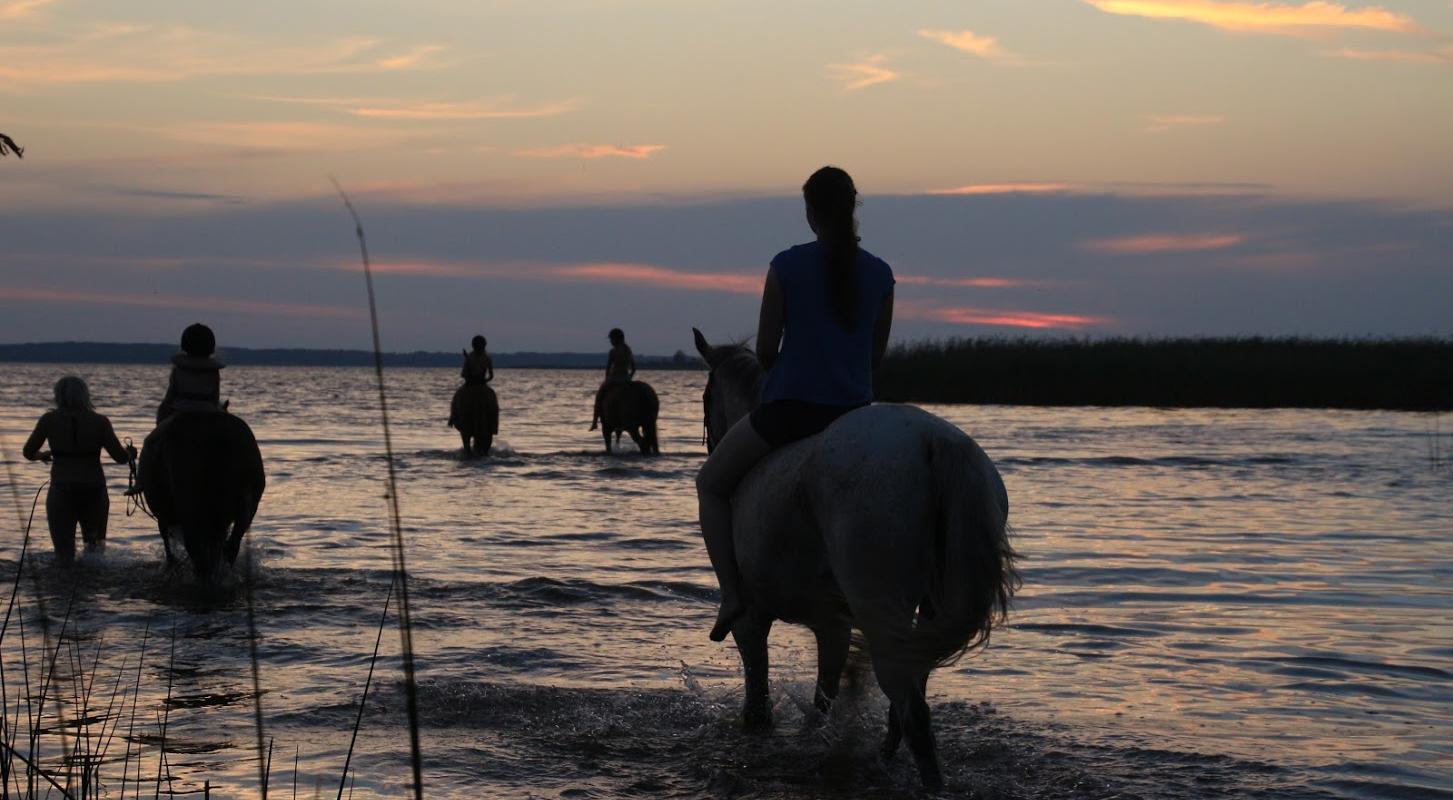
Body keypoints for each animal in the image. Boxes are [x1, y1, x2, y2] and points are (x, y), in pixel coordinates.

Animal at [694, 329, 1022, 789]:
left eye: (707, 396)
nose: (711, 442)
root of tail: (935, 441)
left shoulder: (752, 620)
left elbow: (759, 709)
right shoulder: (831, 624)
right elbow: (822, 701)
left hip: (878, 604)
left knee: (915, 716)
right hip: (927, 612)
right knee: (907, 698)